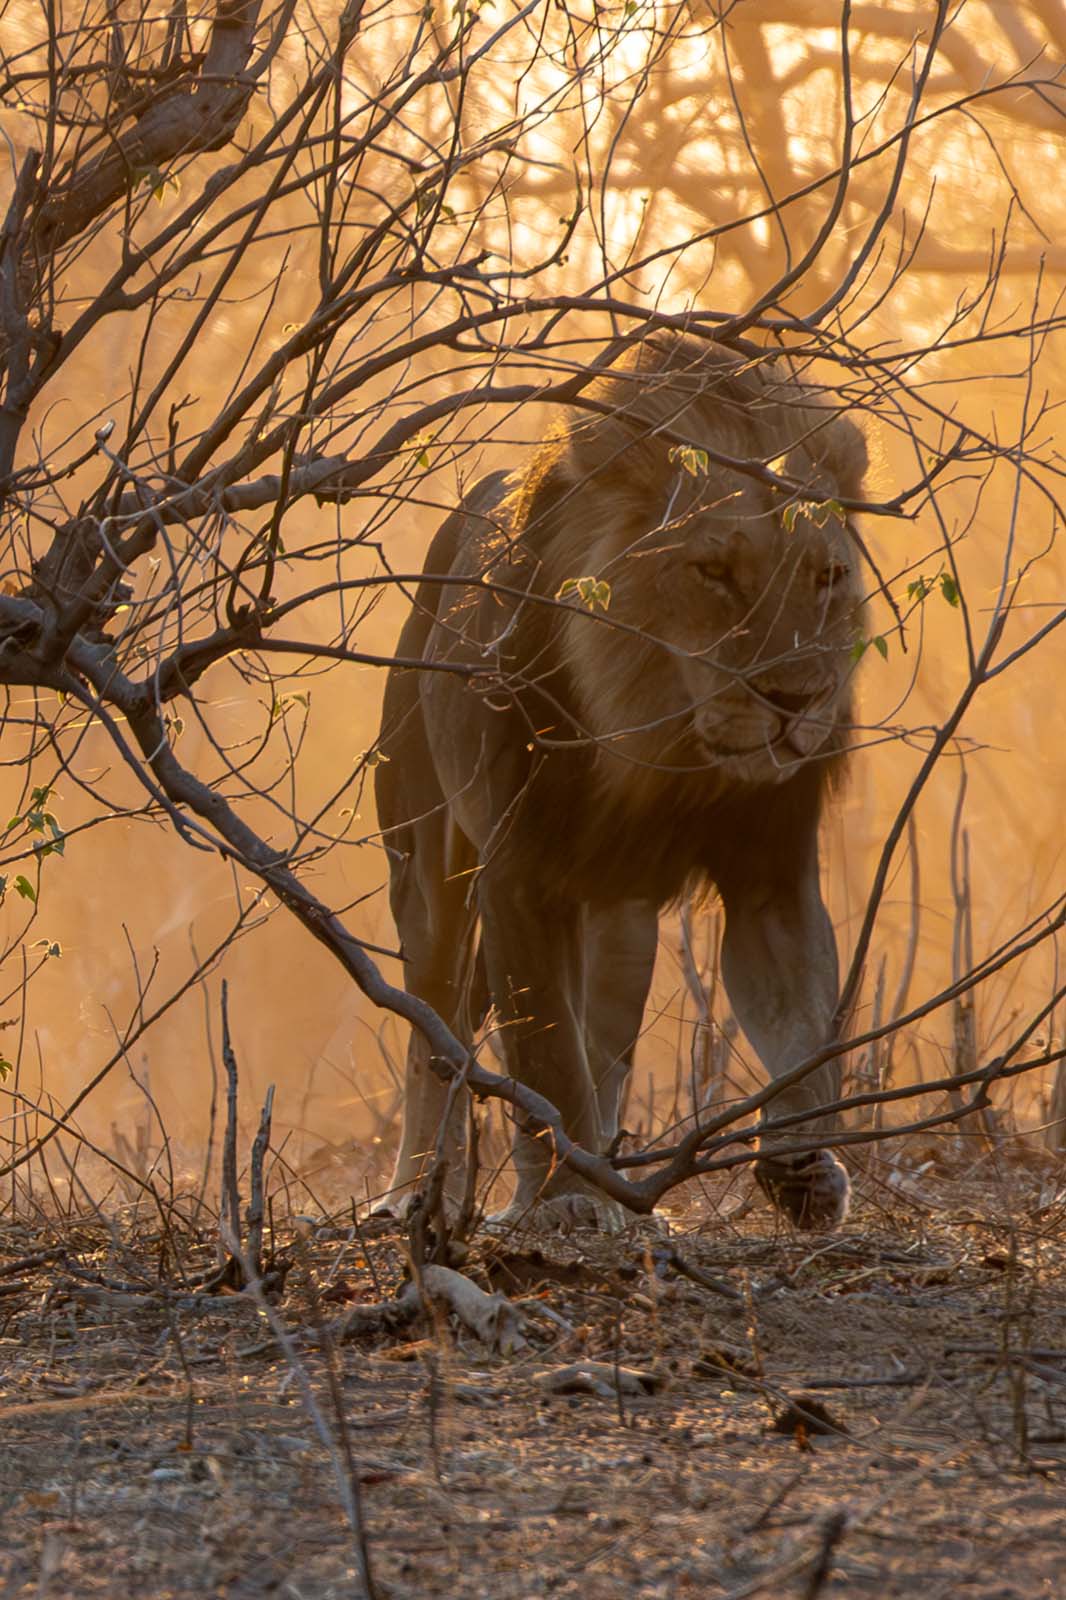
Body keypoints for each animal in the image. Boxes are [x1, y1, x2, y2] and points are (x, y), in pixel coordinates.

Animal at [375, 333, 868, 1231]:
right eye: (713, 571)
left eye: (827, 577)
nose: (797, 700)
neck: (660, 748)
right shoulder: (518, 875)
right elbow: (545, 1056)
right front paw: (567, 1200)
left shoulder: (771, 874)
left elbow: (806, 1029)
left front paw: (804, 1171)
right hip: (427, 870)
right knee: (436, 1031)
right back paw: (414, 1195)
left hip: (622, 916)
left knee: (602, 1042)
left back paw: (608, 1182)